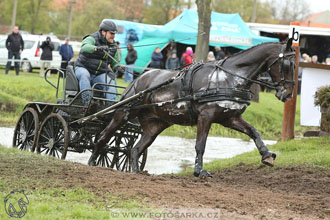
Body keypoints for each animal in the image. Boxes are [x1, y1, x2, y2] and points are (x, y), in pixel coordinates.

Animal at [88, 39, 296, 177]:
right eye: (288, 64)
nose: (287, 94)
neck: (228, 77)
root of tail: (139, 79)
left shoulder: (230, 118)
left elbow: (253, 131)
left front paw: (267, 155)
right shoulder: (206, 116)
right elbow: (200, 144)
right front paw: (199, 171)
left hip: (154, 125)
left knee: (135, 149)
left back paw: (137, 172)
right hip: (123, 113)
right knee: (103, 136)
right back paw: (92, 162)